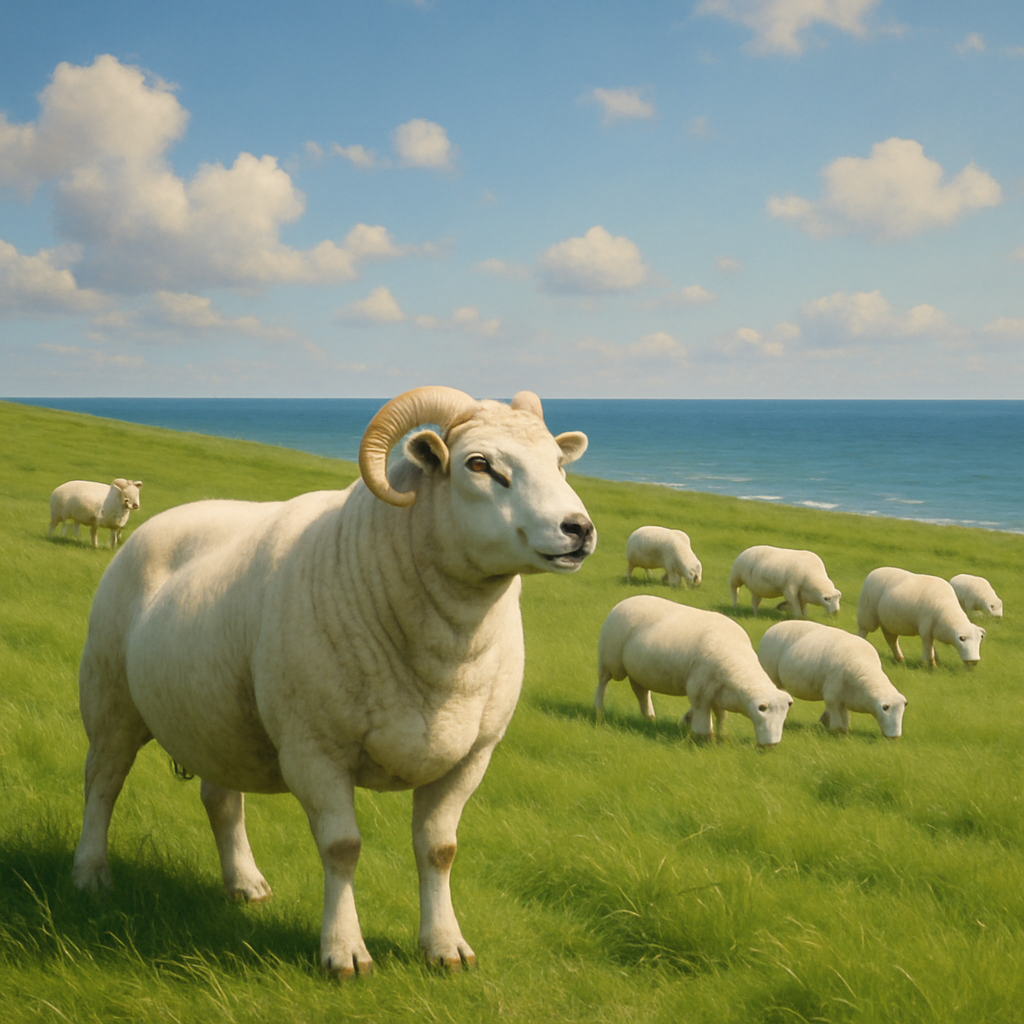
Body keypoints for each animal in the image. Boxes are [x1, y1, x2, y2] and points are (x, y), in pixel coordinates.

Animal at [72, 386, 596, 977]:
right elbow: (342, 848)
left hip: (216, 717)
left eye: (559, 463)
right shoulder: (315, 749)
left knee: (221, 800)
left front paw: (445, 946)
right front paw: (344, 951)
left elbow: (439, 850)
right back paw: (90, 874)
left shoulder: (471, 756)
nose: (579, 529)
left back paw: (244, 883)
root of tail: (166, 519)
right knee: (102, 782)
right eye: (479, 464)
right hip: (110, 698)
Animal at [595, 595, 793, 747]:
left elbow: (721, 716)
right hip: (610, 659)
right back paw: (599, 710)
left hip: (639, 671)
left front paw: (722, 735)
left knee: (641, 692)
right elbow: (702, 717)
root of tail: (625, 601)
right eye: (762, 709)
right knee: (603, 681)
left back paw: (649, 718)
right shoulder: (700, 691)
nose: (771, 746)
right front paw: (706, 739)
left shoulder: (718, 693)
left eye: (784, 717)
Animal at [758, 620, 907, 738]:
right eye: (885, 708)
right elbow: (836, 716)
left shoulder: (843, 696)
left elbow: (844, 714)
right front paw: (837, 731)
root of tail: (772, 628)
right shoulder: (833, 695)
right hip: (771, 674)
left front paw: (841, 728)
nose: (895, 737)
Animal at [857, 567, 985, 668]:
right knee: (863, 632)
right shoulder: (926, 629)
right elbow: (927, 648)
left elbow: (931, 648)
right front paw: (924, 665)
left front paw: (934, 665)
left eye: (980, 639)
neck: (946, 608)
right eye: (962, 639)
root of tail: (875, 571)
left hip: (889, 622)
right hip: (867, 615)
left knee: (891, 640)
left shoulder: (931, 630)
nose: (974, 661)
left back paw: (900, 659)